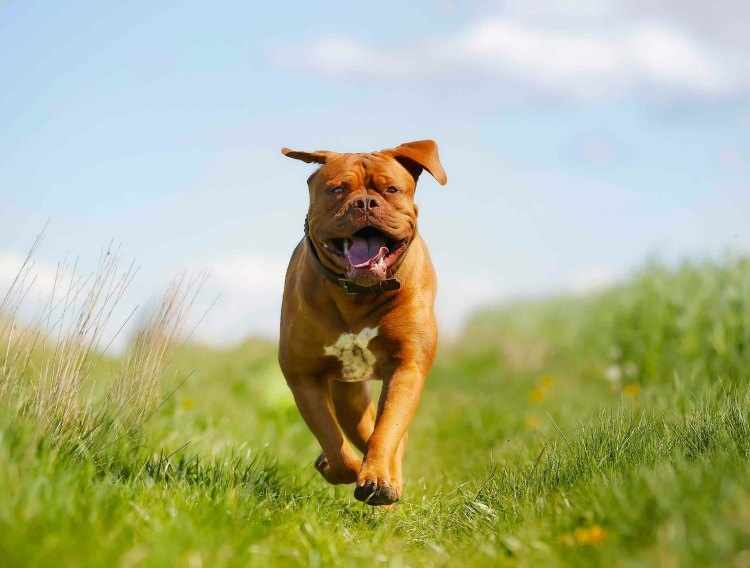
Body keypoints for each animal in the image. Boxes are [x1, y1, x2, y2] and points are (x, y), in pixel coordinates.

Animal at [280, 140, 446, 504]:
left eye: (391, 189)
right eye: (337, 189)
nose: (365, 202)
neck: (359, 294)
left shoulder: (407, 367)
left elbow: (387, 430)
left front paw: (379, 478)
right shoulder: (303, 375)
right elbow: (331, 438)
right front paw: (346, 468)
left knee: (385, 433)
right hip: (348, 393)